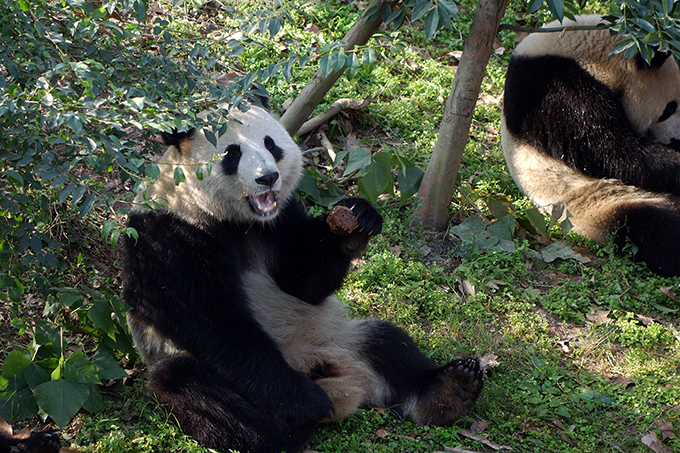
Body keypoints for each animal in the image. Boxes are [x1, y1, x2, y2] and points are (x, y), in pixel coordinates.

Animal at [122, 104, 484, 453]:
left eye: (271, 144)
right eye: (232, 153)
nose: (268, 178)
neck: (233, 220)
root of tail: (346, 386)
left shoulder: (281, 219)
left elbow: (303, 282)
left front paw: (358, 219)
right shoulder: (169, 233)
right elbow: (214, 323)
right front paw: (302, 401)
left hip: (335, 335)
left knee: (387, 342)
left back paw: (451, 388)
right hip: (194, 364)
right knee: (191, 387)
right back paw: (291, 426)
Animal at [501, 15, 680, 277]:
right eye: (669, 108)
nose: (676, 139)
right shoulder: (555, 87)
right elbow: (613, 153)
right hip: (596, 203)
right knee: (653, 227)